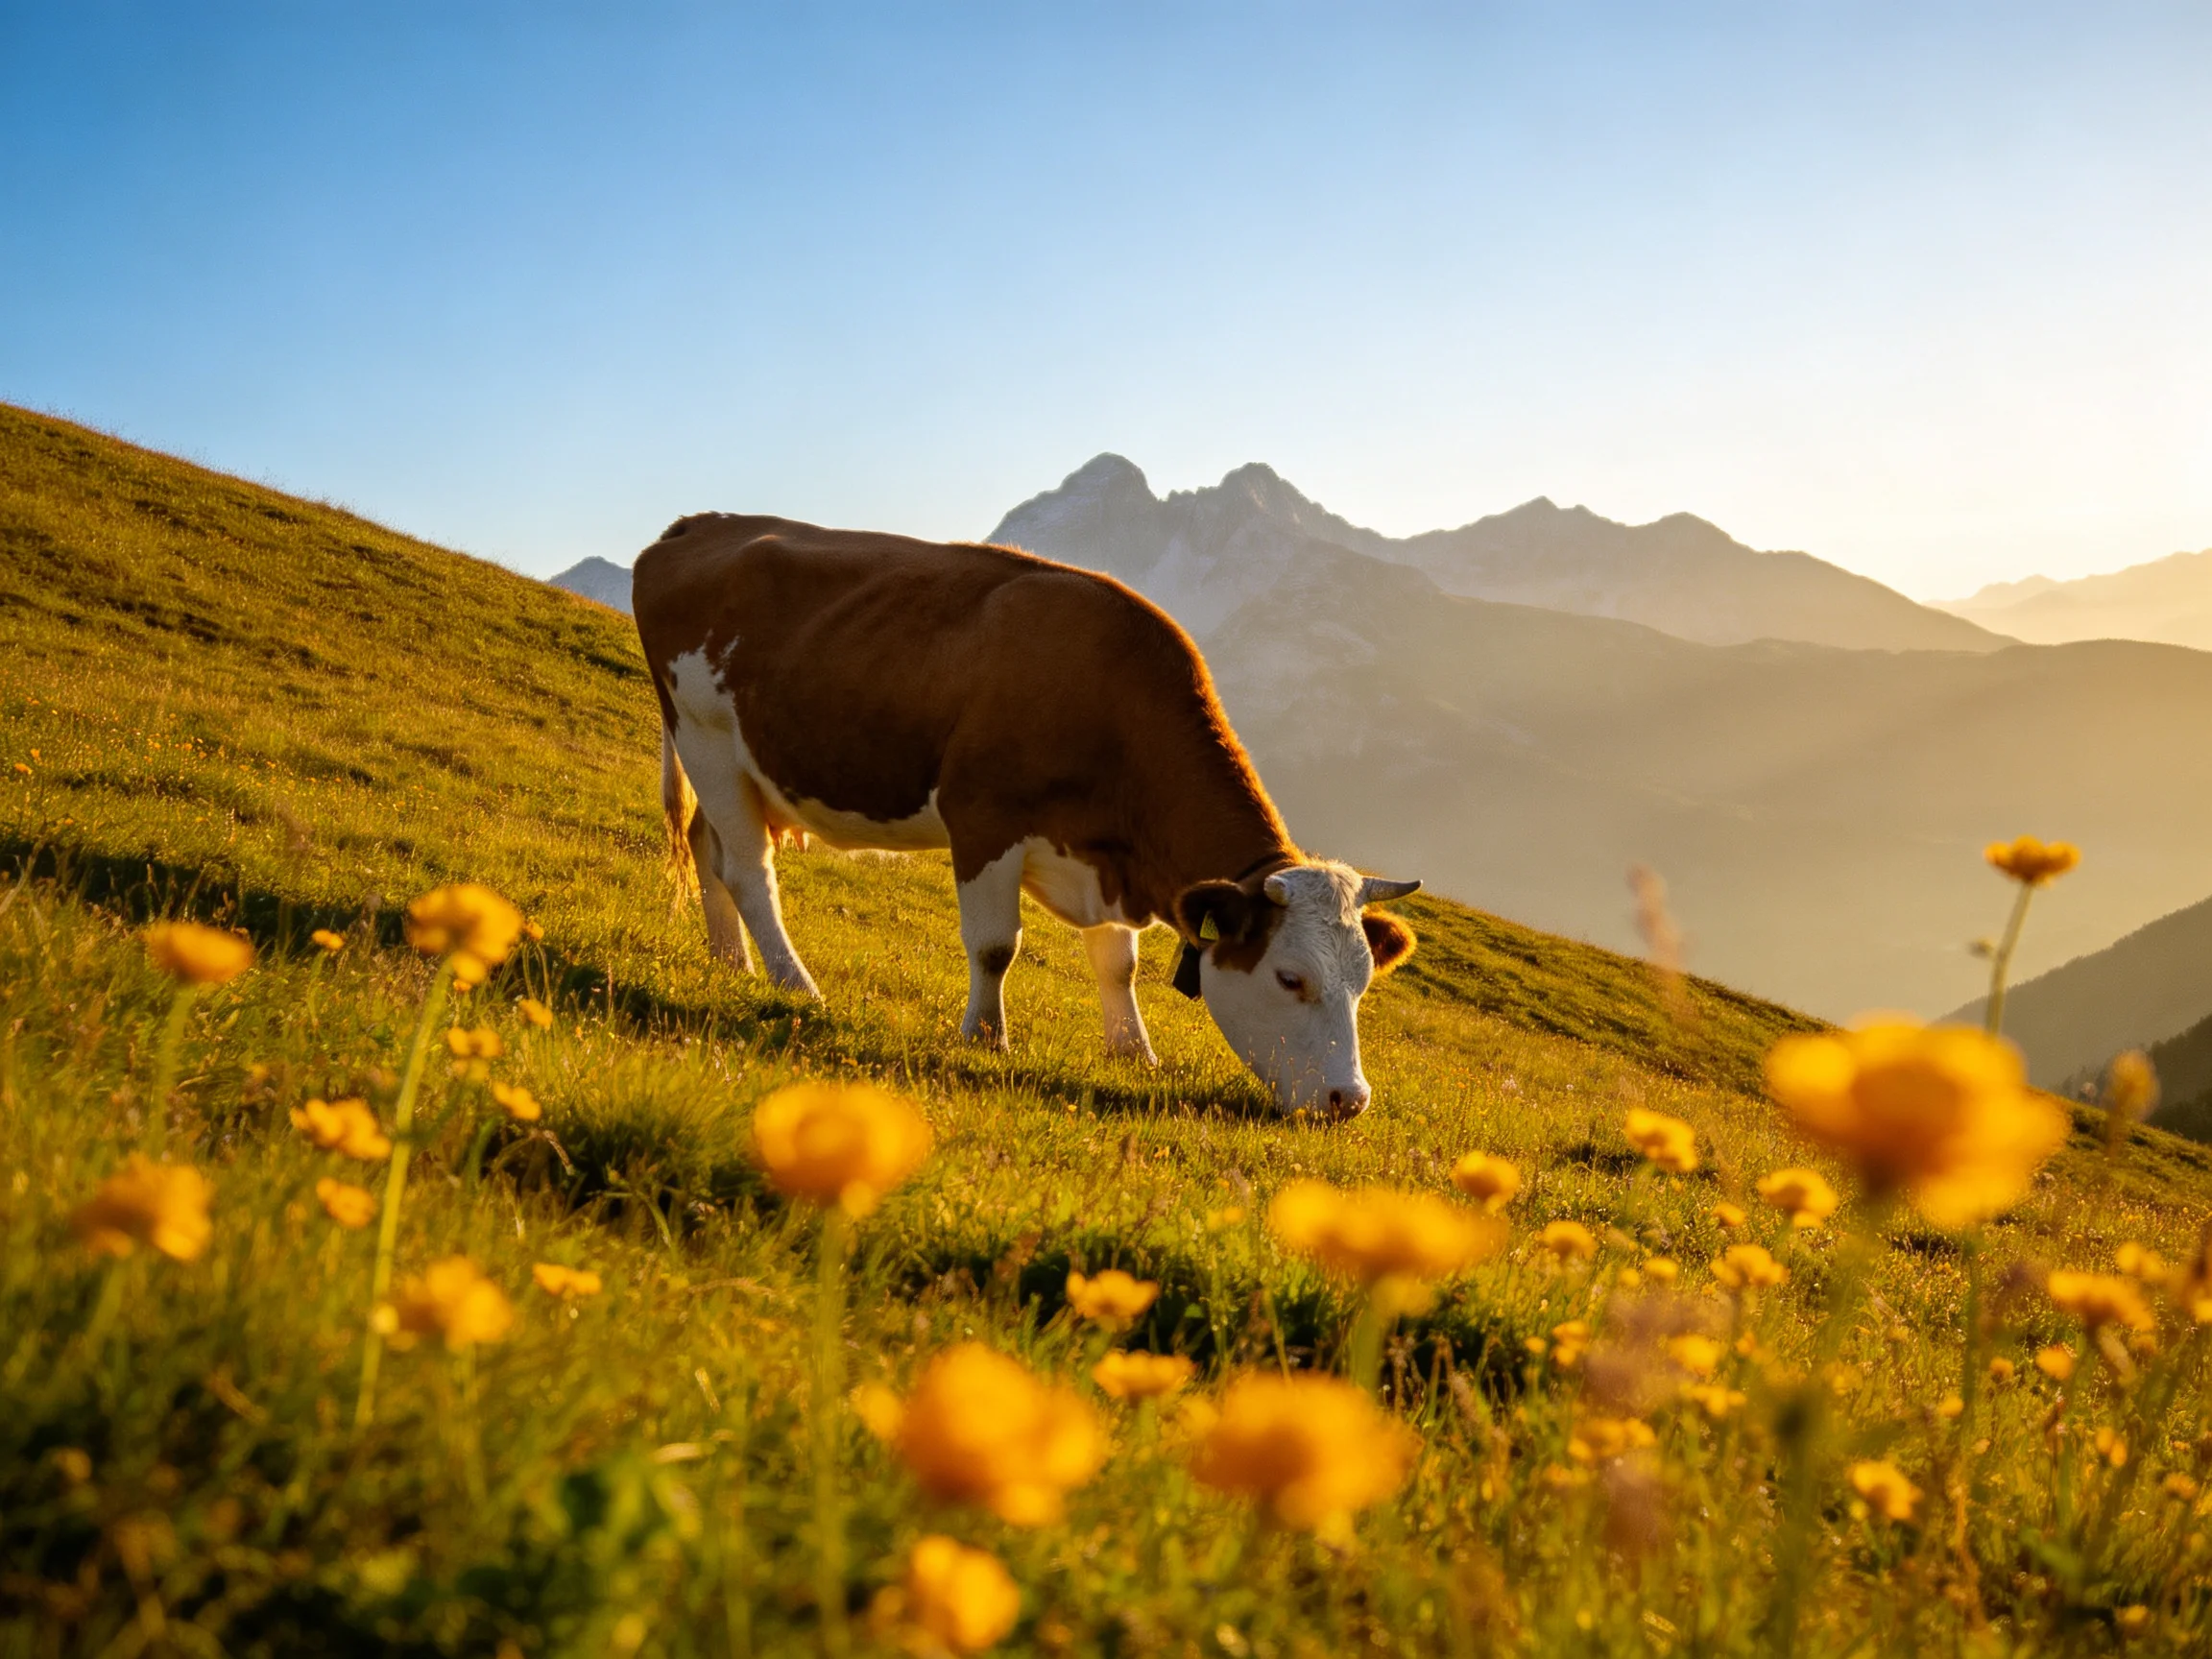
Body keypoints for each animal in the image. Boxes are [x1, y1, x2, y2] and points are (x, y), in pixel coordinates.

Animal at [631, 513, 1421, 1118]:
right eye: (1289, 978)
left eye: (1363, 980)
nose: (1349, 1101)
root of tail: (702, 523)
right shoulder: (985, 818)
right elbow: (994, 947)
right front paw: (986, 1036)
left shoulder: (1102, 858)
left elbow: (1117, 963)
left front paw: (1134, 1051)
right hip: (706, 736)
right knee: (748, 870)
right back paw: (794, 983)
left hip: (732, 765)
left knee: (706, 848)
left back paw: (728, 961)